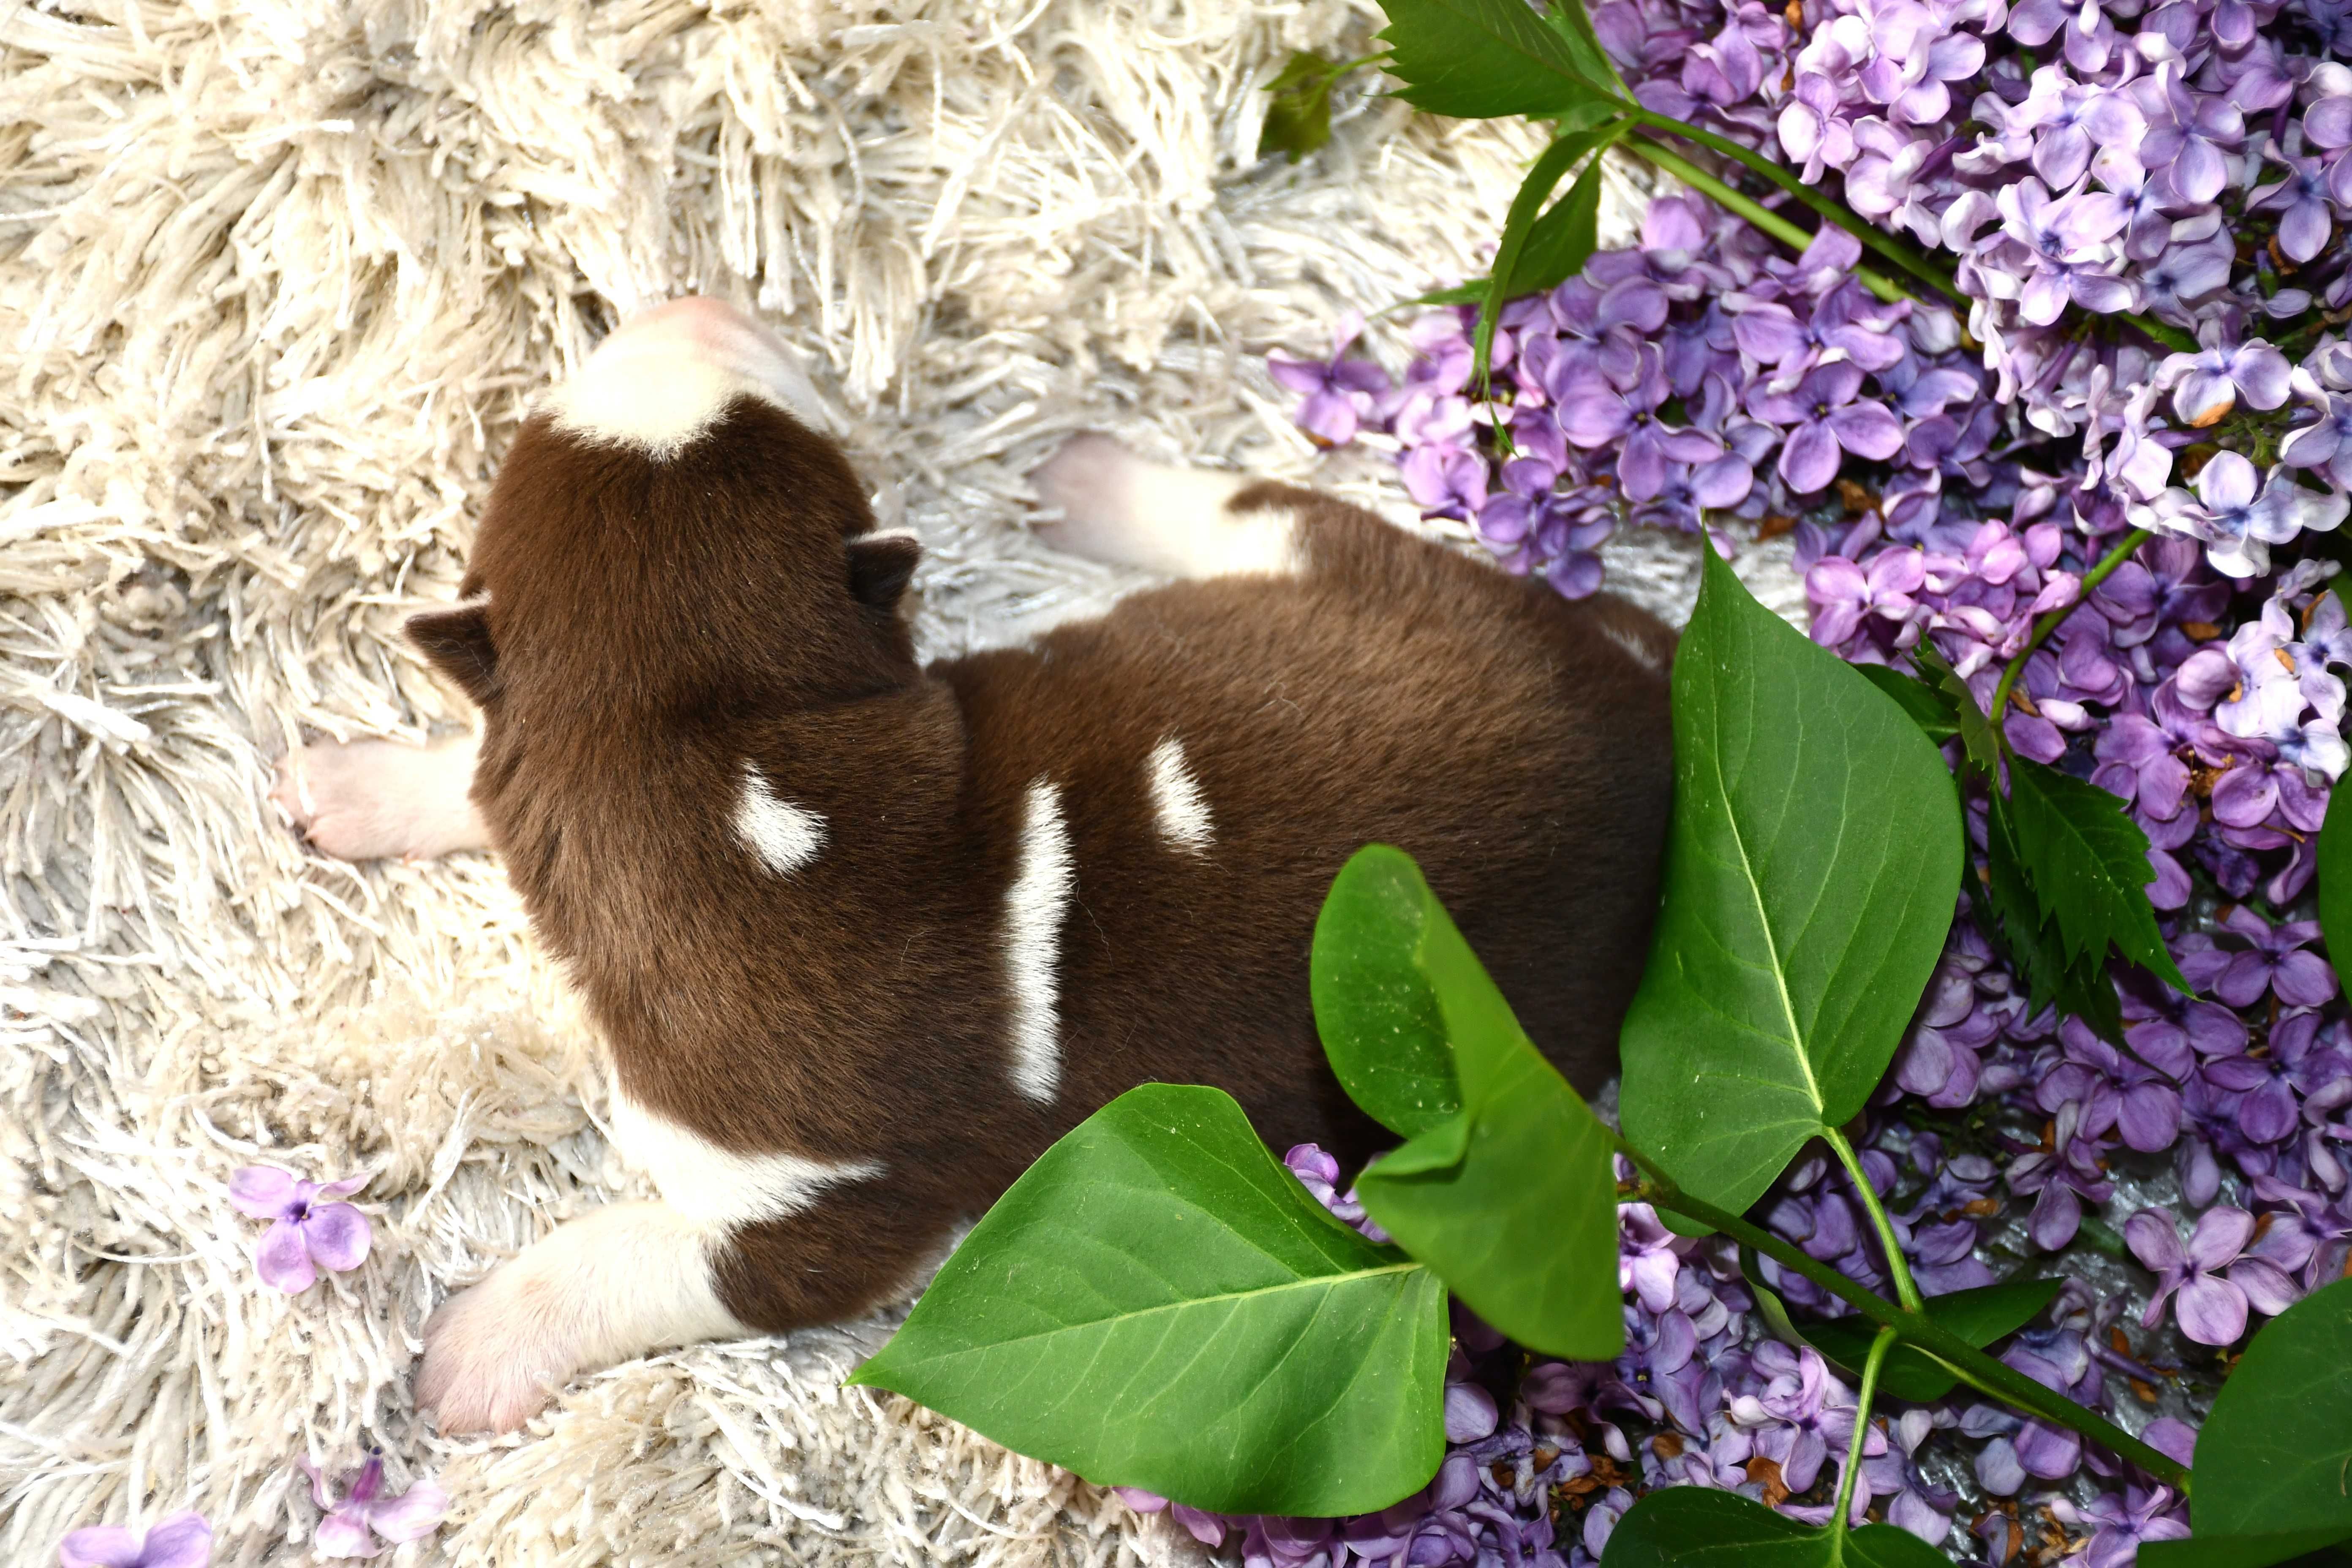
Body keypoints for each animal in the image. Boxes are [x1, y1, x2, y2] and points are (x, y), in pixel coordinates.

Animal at [275, 297, 1674, 1438]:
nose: (692, 303)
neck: (719, 751)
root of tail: (1636, 703)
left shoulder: (832, 1214)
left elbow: (644, 1258)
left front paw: (478, 1343)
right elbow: (482, 767)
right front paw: (356, 784)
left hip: (1362, 601)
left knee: (1249, 506)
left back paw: (1085, 472)